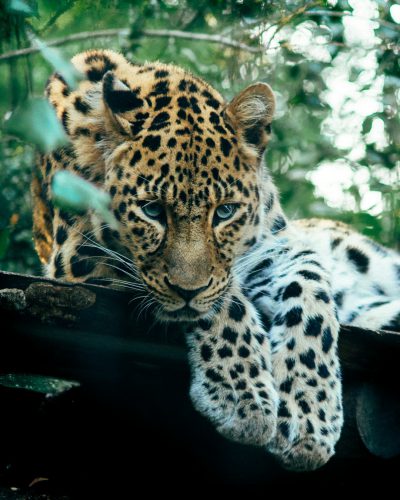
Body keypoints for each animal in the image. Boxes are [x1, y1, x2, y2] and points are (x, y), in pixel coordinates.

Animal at [32, 48, 400, 470]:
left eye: (224, 212)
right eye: (152, 210)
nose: (187, 290)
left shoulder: (272, 247)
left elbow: (310, 290)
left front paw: (309, 414)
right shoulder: (79, 257)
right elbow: (224, 302)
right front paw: (245, 400)